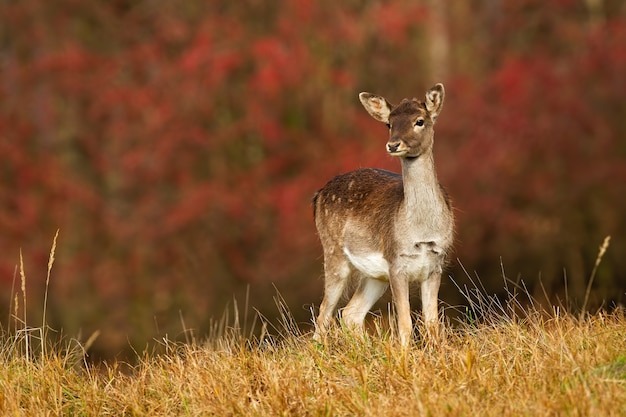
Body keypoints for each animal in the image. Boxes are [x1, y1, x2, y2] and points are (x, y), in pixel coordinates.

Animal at [312, 82, 454, 344]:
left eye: (420, 121)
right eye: (389, 123)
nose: (393, 144)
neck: (422, 233)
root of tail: (317, 196)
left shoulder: (436, 263)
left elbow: (432, 324)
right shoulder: (396, 261)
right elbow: (405, 324)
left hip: (374, 275)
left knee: (350, 313)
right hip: (333, 252)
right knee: (324, 315)